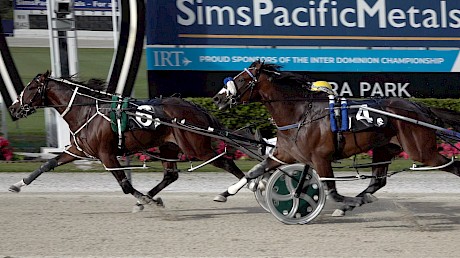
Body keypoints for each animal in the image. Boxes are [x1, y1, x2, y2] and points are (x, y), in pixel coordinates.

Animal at [8, 71, 244, 207]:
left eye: (30, 88)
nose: (13, 108)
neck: (86, 111)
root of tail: (197, 108)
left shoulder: (107, 154)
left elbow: (125, 186)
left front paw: (145, 200)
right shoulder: (79, 150)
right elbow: (48, 164)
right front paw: (18, 184)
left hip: (196, 148)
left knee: (227, 162)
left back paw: (237, 188)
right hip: (169, 146)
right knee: (171, 175)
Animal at [214, 60, 460, 216]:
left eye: (241, 79)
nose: (217, 98)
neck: (300, 113)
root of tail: (420, 107)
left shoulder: (320, 157)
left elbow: (331, 191)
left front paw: (347, 201)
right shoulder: (284, 154)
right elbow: (255, 171)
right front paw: (225, 193)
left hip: (422, 151)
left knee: (454, 166)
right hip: (385, 147)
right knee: (377, 181)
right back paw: (356, 202)